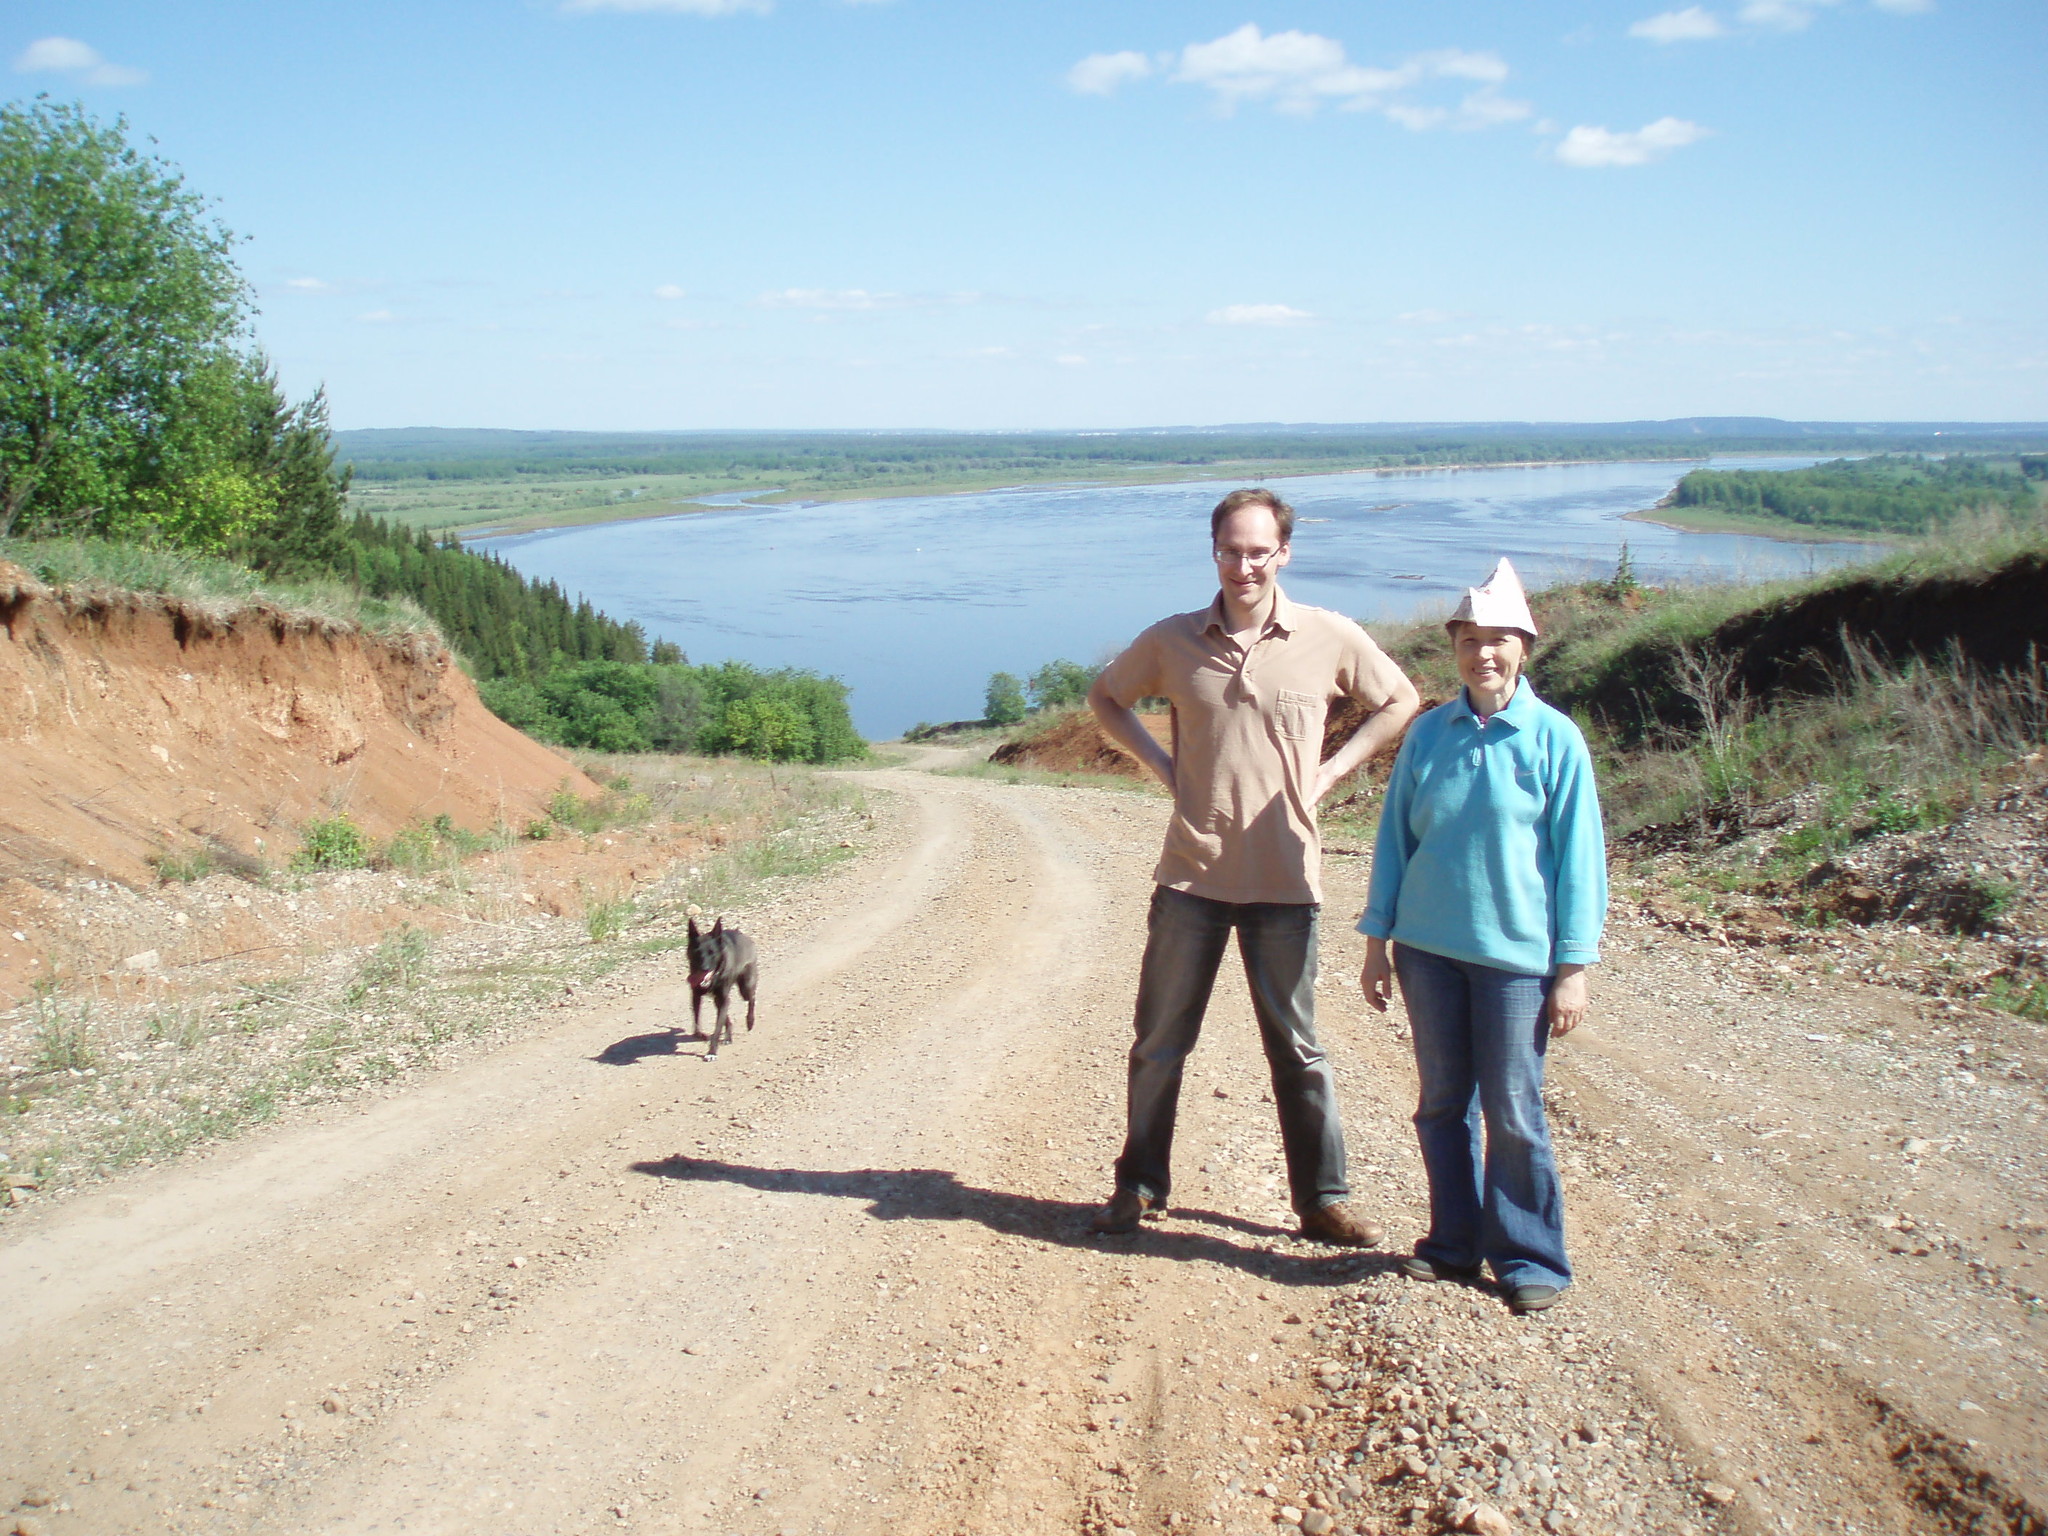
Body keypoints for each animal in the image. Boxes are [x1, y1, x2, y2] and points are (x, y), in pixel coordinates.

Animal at [688, 921, 761, 1064]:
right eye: (697, 952)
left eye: (712, 952)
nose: (704, 968)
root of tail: (740, 933)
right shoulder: (696, 995)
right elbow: (697, 1020)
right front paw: (699, 1034)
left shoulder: (723, 998)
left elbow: (717, 1029)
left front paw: (711, 1052)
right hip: (718, 999)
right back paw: (728, 1036)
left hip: (745, 987)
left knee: (752, 998)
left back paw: (750, 1021)